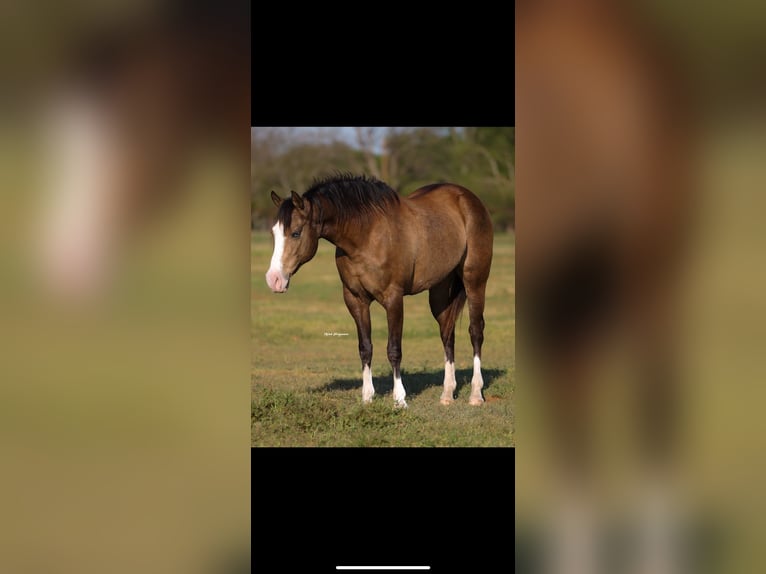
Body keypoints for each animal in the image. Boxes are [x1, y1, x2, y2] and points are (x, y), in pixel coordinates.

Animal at [265, 174, 494, 408]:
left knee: (476, 331)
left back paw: (476, 394)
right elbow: (365, 347)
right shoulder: (355, 300)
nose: (274, 280)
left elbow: (394, 349)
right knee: (447, 333)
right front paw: (367, 397)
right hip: (439, 292)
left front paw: (400, 399)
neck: (367, 236)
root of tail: (468, 198)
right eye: (274, 233)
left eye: (295, 233)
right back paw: (447, 393)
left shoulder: (393, 299)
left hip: (475, 281)